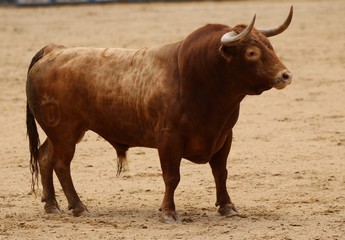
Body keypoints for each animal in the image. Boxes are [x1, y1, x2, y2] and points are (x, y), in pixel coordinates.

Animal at [25, 6, 292, 223]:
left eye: (270, 47)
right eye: (251, 52)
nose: (285, 75)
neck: (195, 78)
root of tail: (53, 51)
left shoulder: (224, 136)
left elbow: (220, 172)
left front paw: (227, 207)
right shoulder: (168, 139)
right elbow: (172, 177)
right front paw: (168, 212)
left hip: (64, 133)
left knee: (45, 157)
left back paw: (52, 205)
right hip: (65, 132)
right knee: (61, 164)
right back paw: (79, 207)